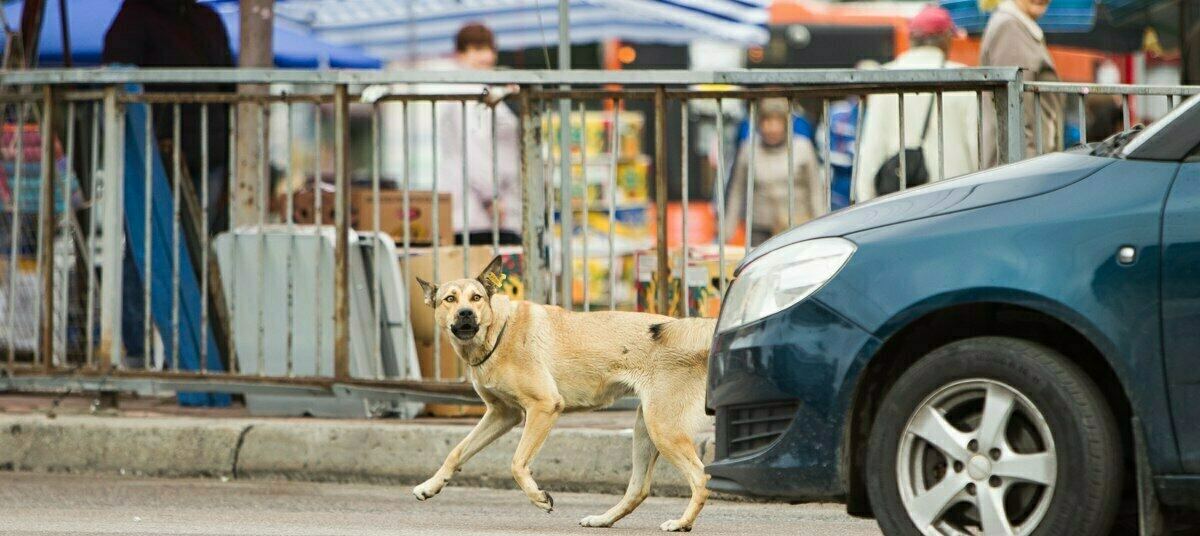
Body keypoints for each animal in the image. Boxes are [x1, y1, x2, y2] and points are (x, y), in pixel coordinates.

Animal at [412, 257, 715, 530]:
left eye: (476, 298)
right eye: (450, 299)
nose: (465, 313)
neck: (499, 331)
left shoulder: (543, 407)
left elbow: (517, 464)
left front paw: (538, 497)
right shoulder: (503, 415)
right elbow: (457, 452)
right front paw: (430, 486)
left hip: (662, 429)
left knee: (700, 478)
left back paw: (682, 523)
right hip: (645, 429)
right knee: (638, 489)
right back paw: (603, 519)